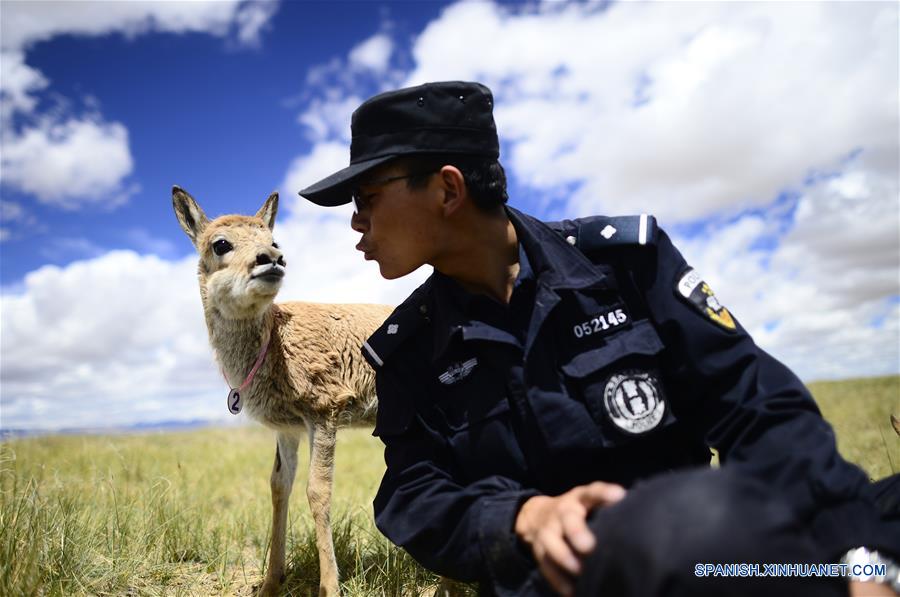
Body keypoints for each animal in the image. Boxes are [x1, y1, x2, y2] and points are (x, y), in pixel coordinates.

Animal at [172, 186, 392, 596]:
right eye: (220, 243)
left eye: (274, 241)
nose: (272, 259)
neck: (276, 340)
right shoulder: (287, 428)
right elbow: (278, 487)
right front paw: (271, 582)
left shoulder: (324, 414)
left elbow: (317, 492)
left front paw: (330, 587)